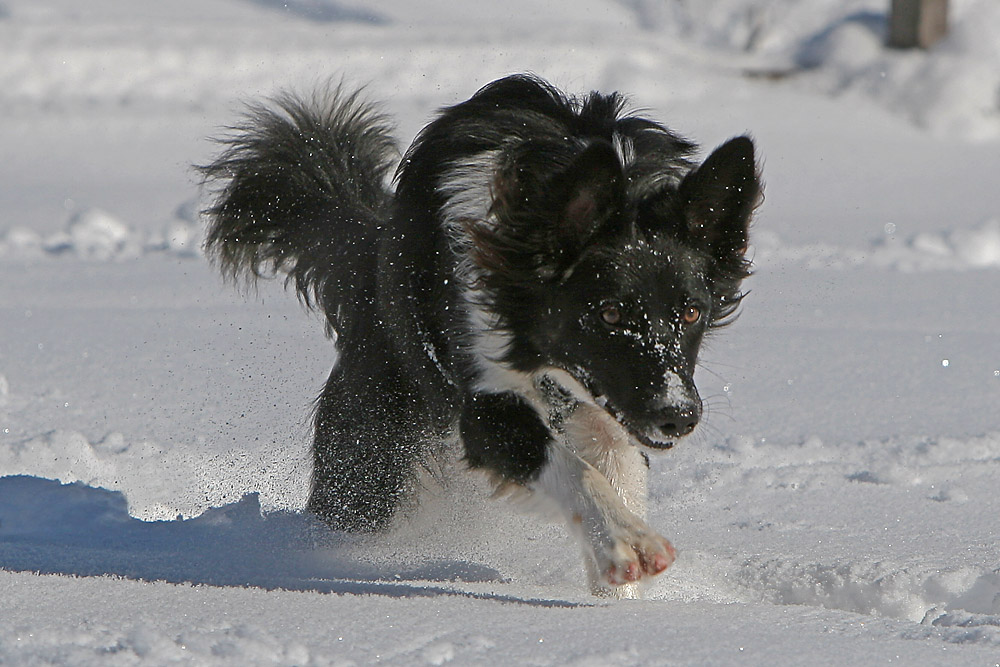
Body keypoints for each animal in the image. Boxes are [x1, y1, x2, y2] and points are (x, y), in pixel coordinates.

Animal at [205, 75, 764, 596]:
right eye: (608, 314)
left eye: (691, 313)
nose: (679, 416)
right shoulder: (485, 403)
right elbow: (574, 470)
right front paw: (627, 541)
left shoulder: (610, 410)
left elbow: (617, 469)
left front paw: (619, 582)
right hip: (371, 461)